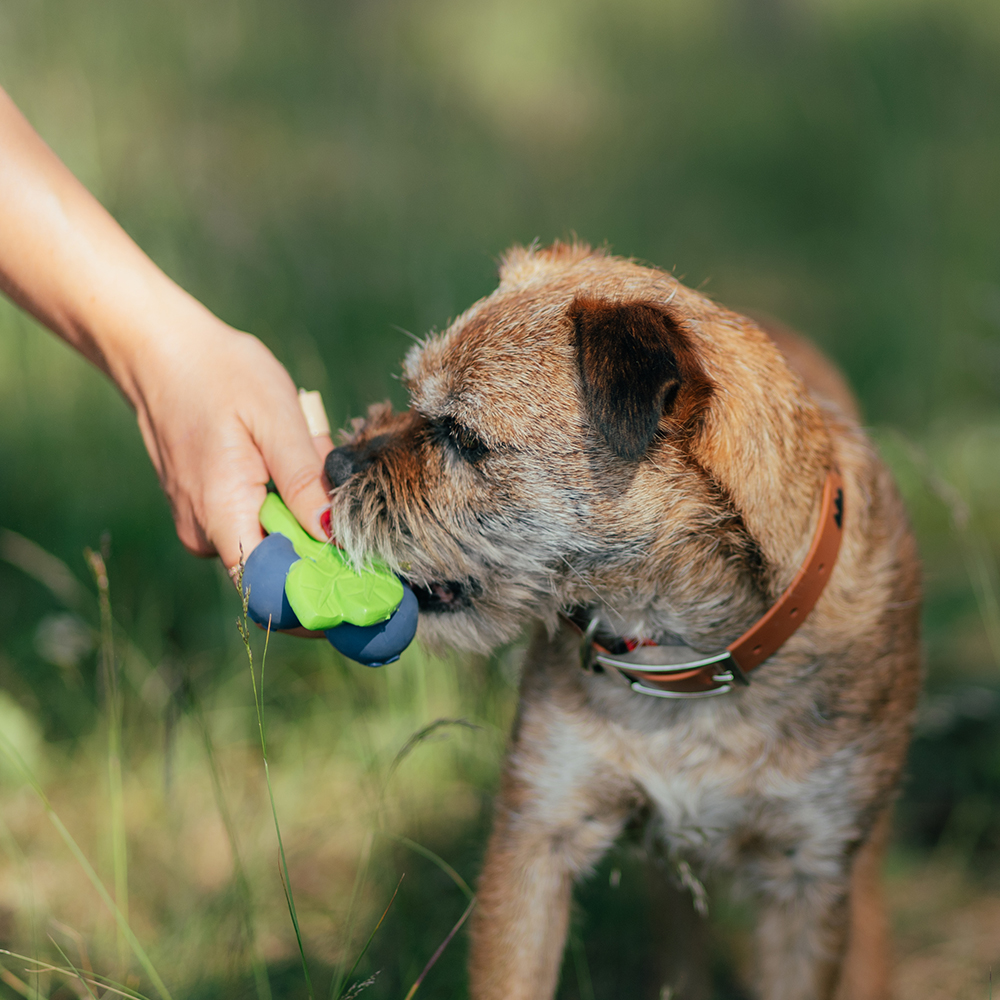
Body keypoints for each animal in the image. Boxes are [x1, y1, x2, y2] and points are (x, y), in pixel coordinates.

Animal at [326, 244, 920, 1000]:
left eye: (463, 437)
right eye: (409, 396)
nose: (331, 462)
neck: (687, 649)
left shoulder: (805, 881)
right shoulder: (538, 836)